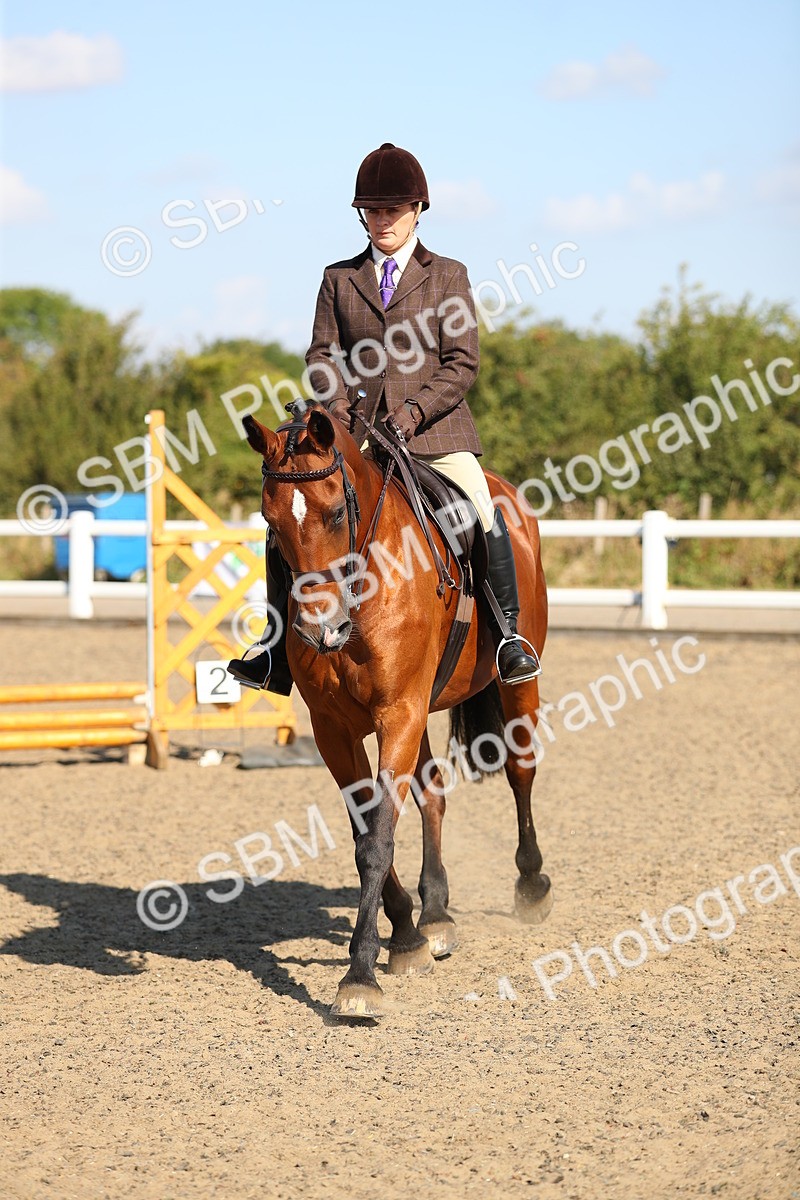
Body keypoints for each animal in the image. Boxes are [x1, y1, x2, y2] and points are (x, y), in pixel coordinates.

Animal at [243, 405, 552, 1018]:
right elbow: (367, 832)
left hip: (515, 684)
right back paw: (435, 915)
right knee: (433, 793)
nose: (321, 632)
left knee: (520, 770)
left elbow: (379, 838)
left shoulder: (399, 713)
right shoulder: (336, 730)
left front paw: (360, 976)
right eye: (270, 521)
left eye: (337, 511)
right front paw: (405, 934)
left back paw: (531, 885)